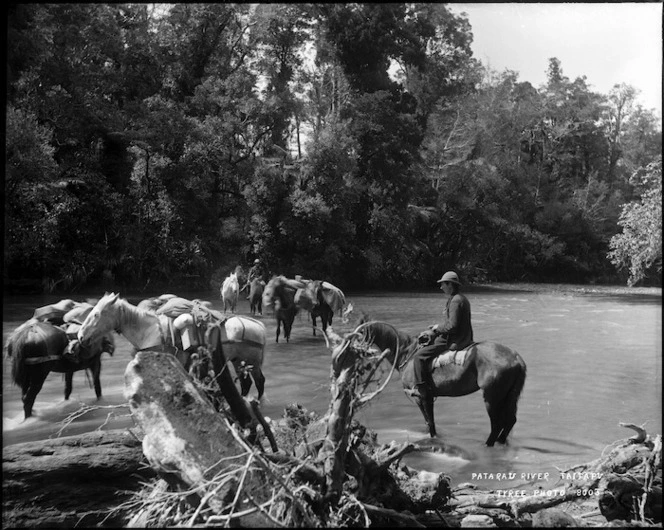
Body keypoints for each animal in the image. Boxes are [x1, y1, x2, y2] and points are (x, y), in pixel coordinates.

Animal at [76, 292, 266, 396]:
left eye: (96, 314)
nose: (80, 336)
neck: (149, 331)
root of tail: (259, 326)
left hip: (251, 362)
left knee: (259, 382)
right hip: (238, 361)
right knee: (247, 384)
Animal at [340, 316, 528, 444]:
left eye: (360, 333)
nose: (346, 350)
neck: (407, 354)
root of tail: (516, 358)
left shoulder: (421, 396)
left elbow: (430, 422)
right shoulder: (428, 397)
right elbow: (429, 422)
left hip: (492, 398)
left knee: (497, 424)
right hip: (508, 396)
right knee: (510, 421)